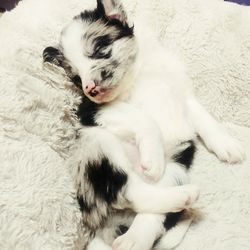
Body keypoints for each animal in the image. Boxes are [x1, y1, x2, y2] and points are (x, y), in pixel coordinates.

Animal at [42, 0, 244, 249]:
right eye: (76, 79)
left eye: (100, 49)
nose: (90, 88)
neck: (138, 76)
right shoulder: (93, 110)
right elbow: (144, 118)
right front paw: (153, 157)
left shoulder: (183, 94)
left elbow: (205, 119)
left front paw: (228, 145)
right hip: (98, 147)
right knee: (128, 192)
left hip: (176, 167)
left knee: (151, 212)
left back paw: (143, 233)